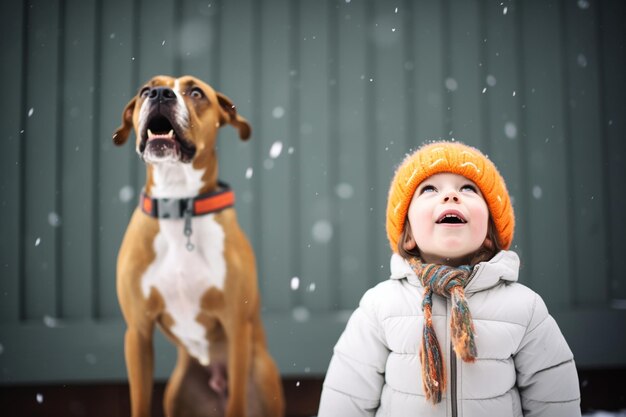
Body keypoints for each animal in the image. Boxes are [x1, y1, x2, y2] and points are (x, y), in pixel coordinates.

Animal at [113, 75, 284, 416]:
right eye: (144, 90)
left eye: (196, 93)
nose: (160, 94)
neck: (180, 205)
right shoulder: (137, 332)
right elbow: (139, 401)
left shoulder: (235, 325)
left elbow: (236, 406)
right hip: (178, 391)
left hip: (260, 376)